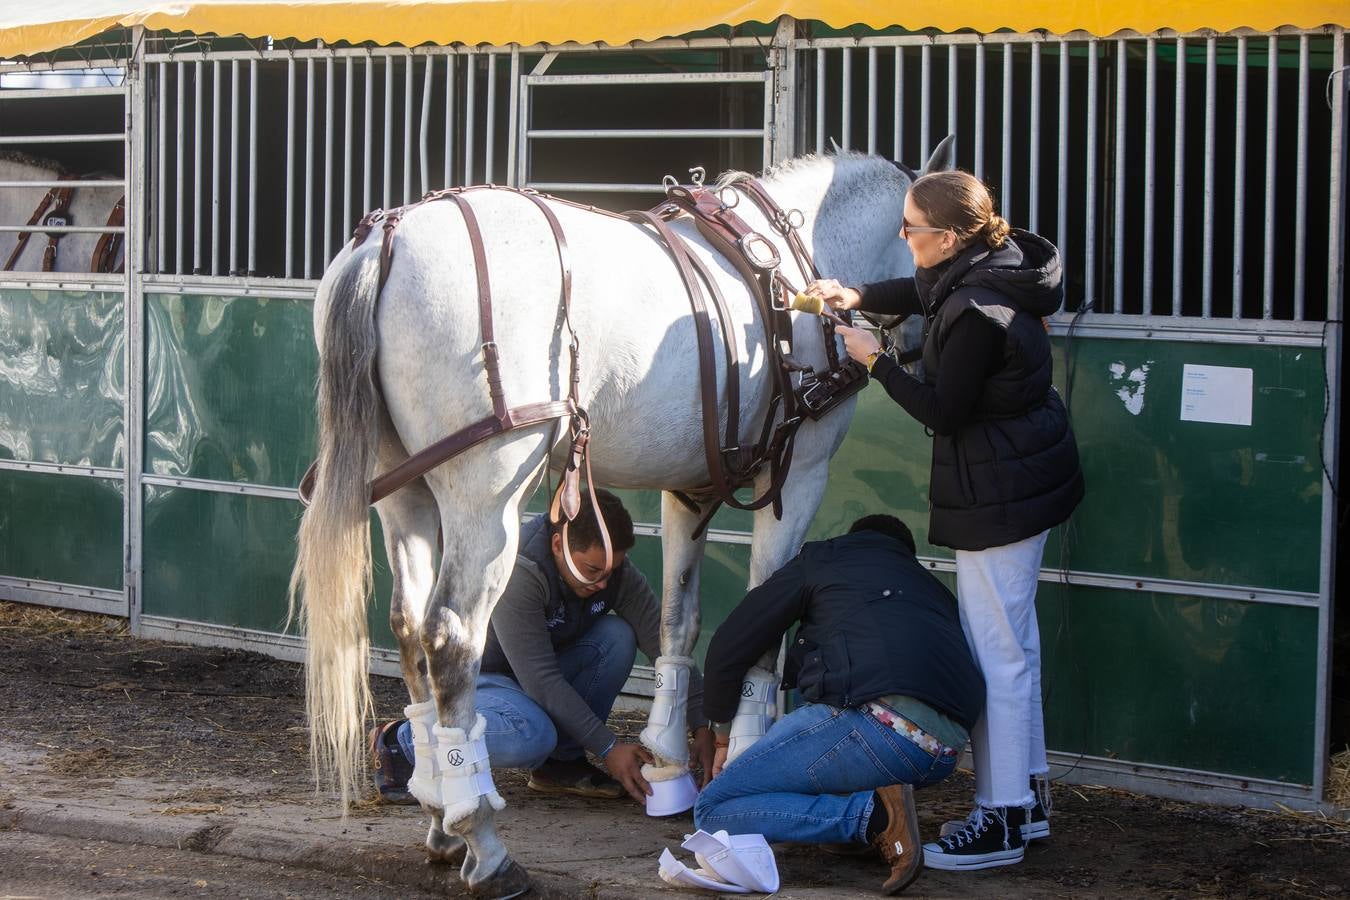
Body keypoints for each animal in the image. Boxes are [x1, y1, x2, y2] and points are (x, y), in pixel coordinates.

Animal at [291, 144, 955, 895]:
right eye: (927, 257)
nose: (927, 343)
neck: (790, 268)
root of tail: (390, 237)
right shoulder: (800, 476)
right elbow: (763, 618)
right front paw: (746, 751)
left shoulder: (689, 490)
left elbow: (678, 619)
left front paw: (669, 759)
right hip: (484, 499)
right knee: (451, 635)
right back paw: (484, 843)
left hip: (406, 493)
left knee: (407, 626)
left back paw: (439, 816)